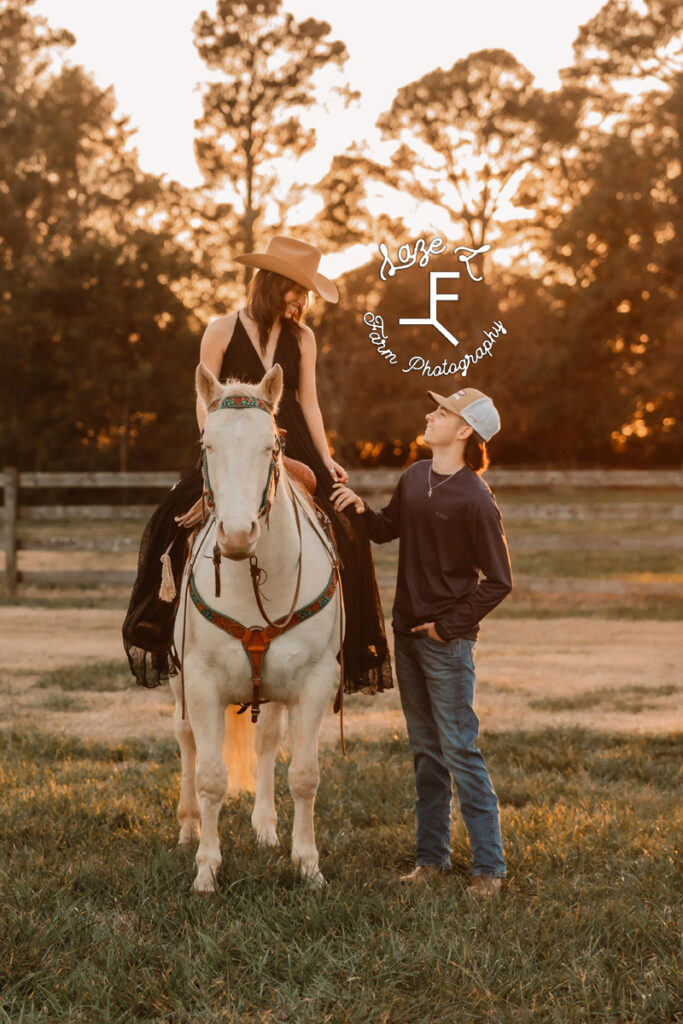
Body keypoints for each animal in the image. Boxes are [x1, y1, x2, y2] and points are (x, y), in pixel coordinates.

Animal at [171, 364, 342, 892]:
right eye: (207, 445)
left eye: (272, 446)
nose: (237, 534)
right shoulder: (201, 683)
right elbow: (210, 776)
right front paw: (206, 870)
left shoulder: (314, 683)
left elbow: (304, 775)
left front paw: (308, 866)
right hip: (176, 683)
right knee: (185, 740)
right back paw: (187, 828)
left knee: (267, 743)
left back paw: (266, 828)